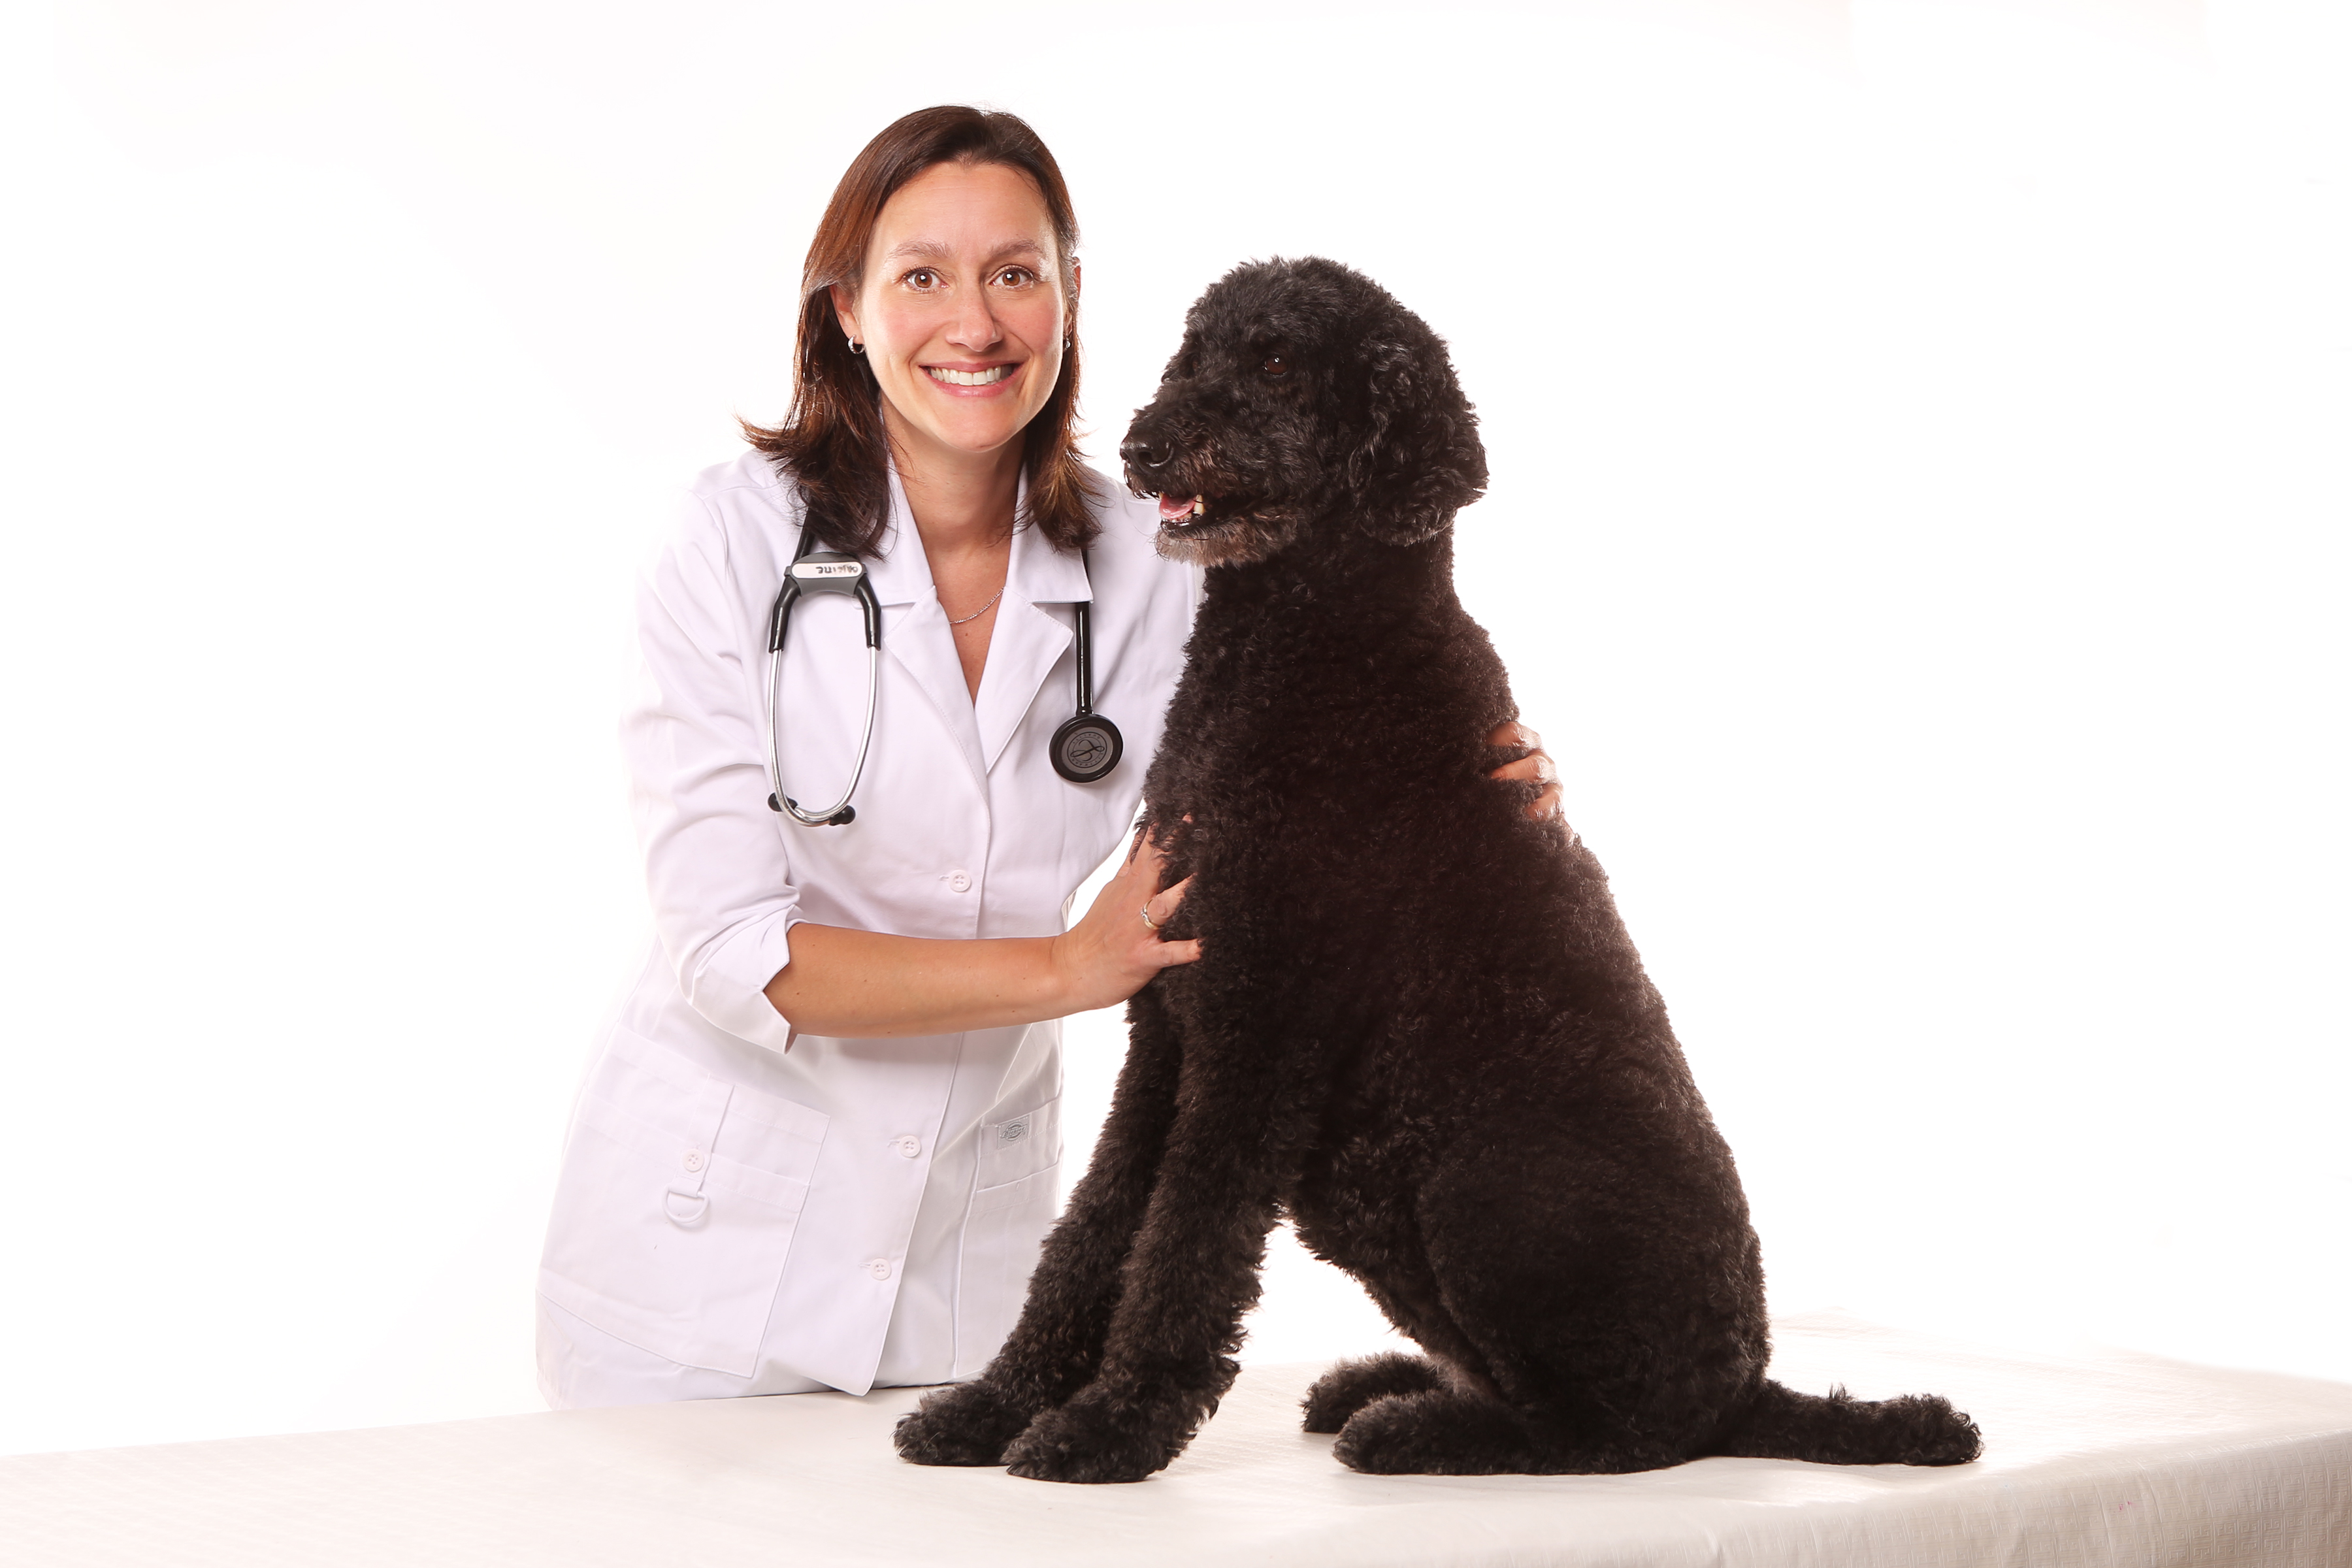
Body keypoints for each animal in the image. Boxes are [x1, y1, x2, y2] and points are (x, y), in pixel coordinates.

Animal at [893, 256, 1983, 1484]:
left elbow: (1184, 1244)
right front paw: (996, 1404)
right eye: (1195, 351)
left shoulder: (1258, 1032)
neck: (1309, 645)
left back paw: (1421, 1426)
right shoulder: (1166, 1026)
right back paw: (1388, 1382)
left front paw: (1108, 1425)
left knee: (1612, 1434)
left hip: (1480, 1187)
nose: (1144, 444)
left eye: (1279, 363)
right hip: (1365, 1188)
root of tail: (1749, 1386)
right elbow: (1095, 1228)